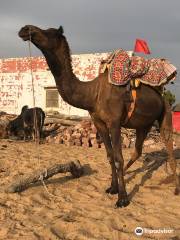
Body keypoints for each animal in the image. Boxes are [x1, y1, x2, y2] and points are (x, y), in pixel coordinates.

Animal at [18, 25, 180, 207]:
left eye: (50, 32)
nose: (25, 29)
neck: (92, 94)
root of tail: (161, 96)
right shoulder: (99, 122)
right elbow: (109, 156)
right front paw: (113, 188)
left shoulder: (114, 122)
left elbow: (118, 157)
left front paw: (122, 199)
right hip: (143, 125)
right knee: (138, 150)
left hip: (165, 114)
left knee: (169, 149)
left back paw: (176, 189)